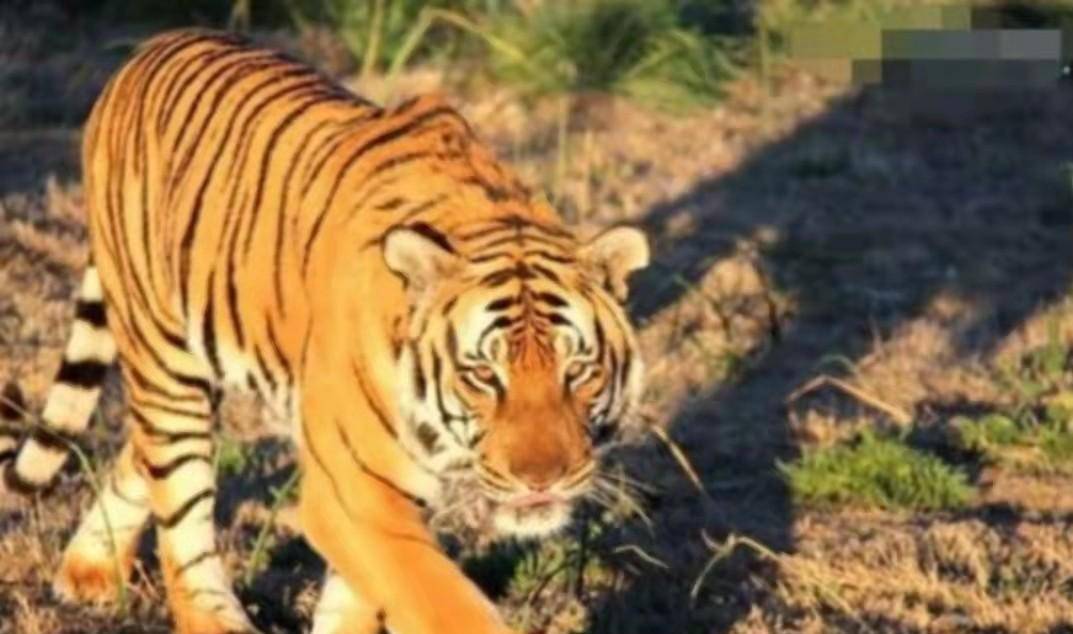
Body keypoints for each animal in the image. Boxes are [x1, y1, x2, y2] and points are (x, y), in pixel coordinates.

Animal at [0, 29, 649, 634]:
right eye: (483, 376)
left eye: (578, 371)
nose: (542, 480)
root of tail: (147, 49)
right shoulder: (353, 490)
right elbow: (447, 605)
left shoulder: (372, 499)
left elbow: (358, 598)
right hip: (165, 360)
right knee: (181, 510)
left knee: (140, 455)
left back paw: (88, 569)